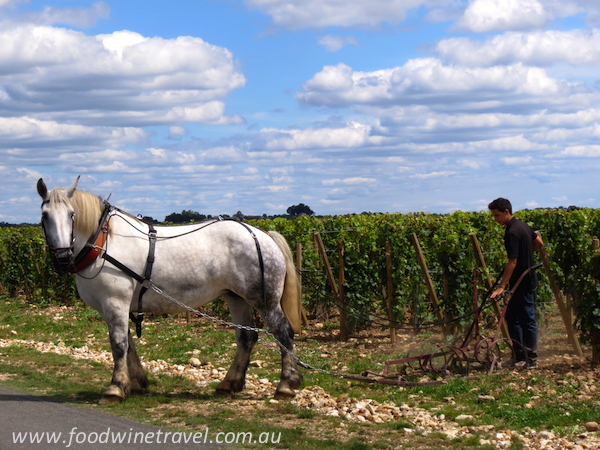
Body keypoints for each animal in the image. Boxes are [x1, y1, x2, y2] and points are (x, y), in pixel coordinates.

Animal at [36, 177, 304, 404]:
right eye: (44, 217)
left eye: (72, 215)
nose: (62, 257)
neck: (104, 242)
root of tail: (261, 234)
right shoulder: (111, 307)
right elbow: (128, 343)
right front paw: (136, 382)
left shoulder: (115, 302)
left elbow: (119, 344)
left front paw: (115, 388)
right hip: (236, 298)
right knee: (246, 337)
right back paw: (229, 384)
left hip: (265, 301)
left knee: (283, 333)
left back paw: (285, 385)